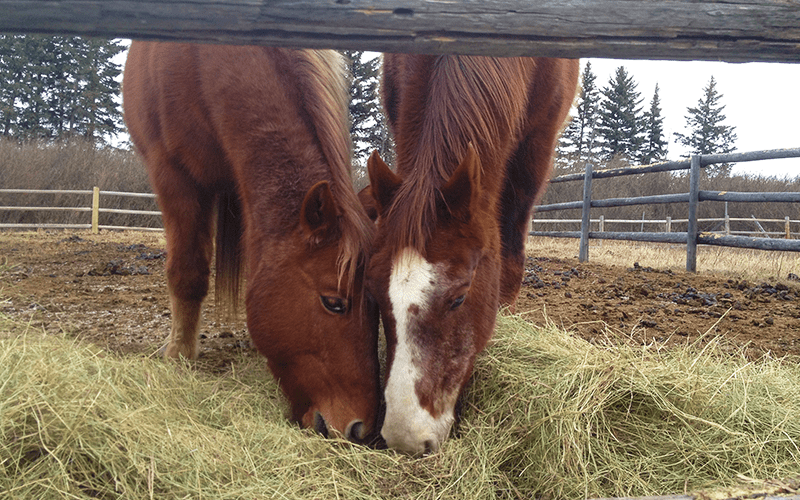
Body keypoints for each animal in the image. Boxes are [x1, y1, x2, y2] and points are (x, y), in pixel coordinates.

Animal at [123, 43, 380, 442]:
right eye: (334, 303)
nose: (361, 430)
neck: (204, 62)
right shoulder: (173, 175)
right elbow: (188, 273)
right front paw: (178, 356)